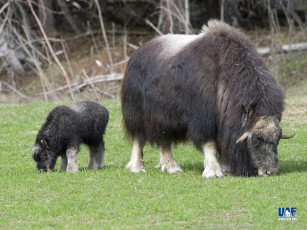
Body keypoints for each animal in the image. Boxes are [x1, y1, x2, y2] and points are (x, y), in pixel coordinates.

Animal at [121, 20, 296, 178]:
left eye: (277, 139)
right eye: (257, 139)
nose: (270, 171)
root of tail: (135, 54)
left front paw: (224, 167)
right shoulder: (203, 120)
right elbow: (210, 144)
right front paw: (213, 171)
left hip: (163, 117)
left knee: (164, 140)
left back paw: (171, 167)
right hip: (137, 113)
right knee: (139, 139)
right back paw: (138, 167)